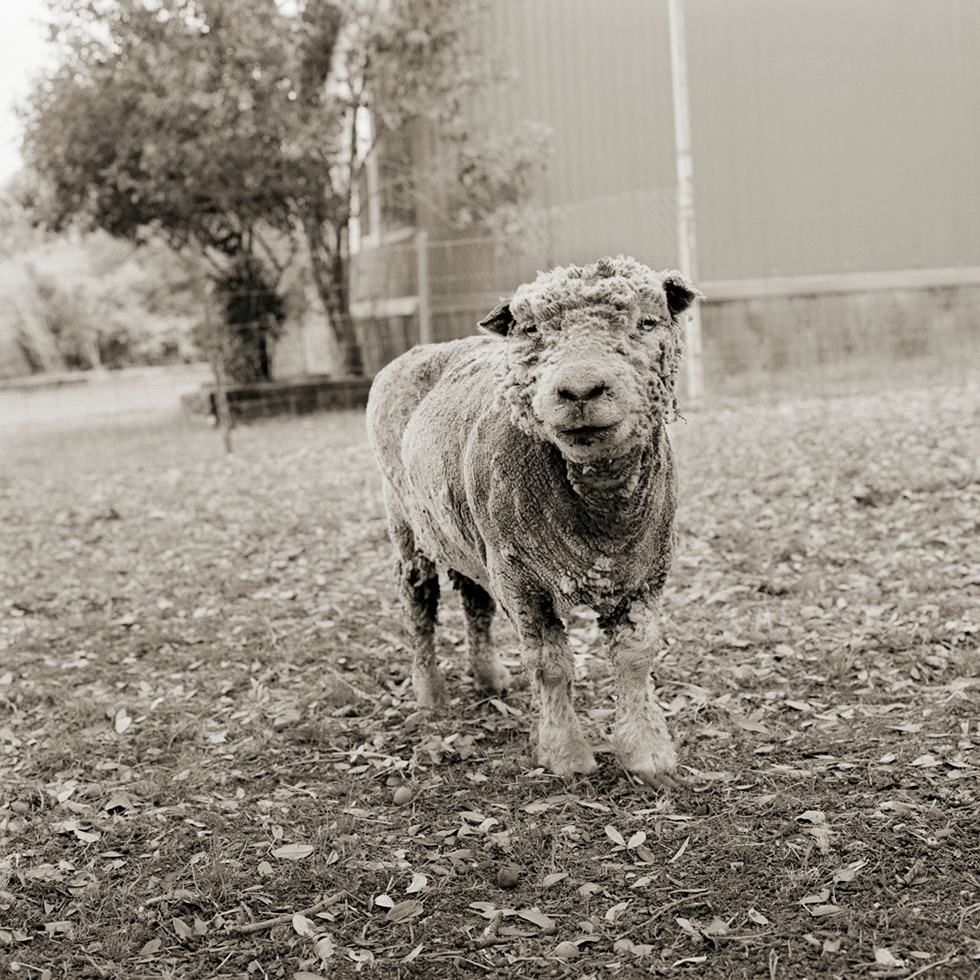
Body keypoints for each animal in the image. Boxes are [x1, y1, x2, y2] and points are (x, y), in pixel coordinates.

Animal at [364, 256, 700, 784]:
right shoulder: (523, 581)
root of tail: (427, 347)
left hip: (468, 534)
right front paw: (565, 756)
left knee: (474, 601)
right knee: (419, 604)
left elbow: (635, 658)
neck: (601, 517)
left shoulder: (644, 574)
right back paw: (431, 695)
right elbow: (551, 666)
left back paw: (489, 677)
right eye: (531, 330)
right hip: (405, 521)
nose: (580, 390)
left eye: (648, 322)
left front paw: (648, 754)